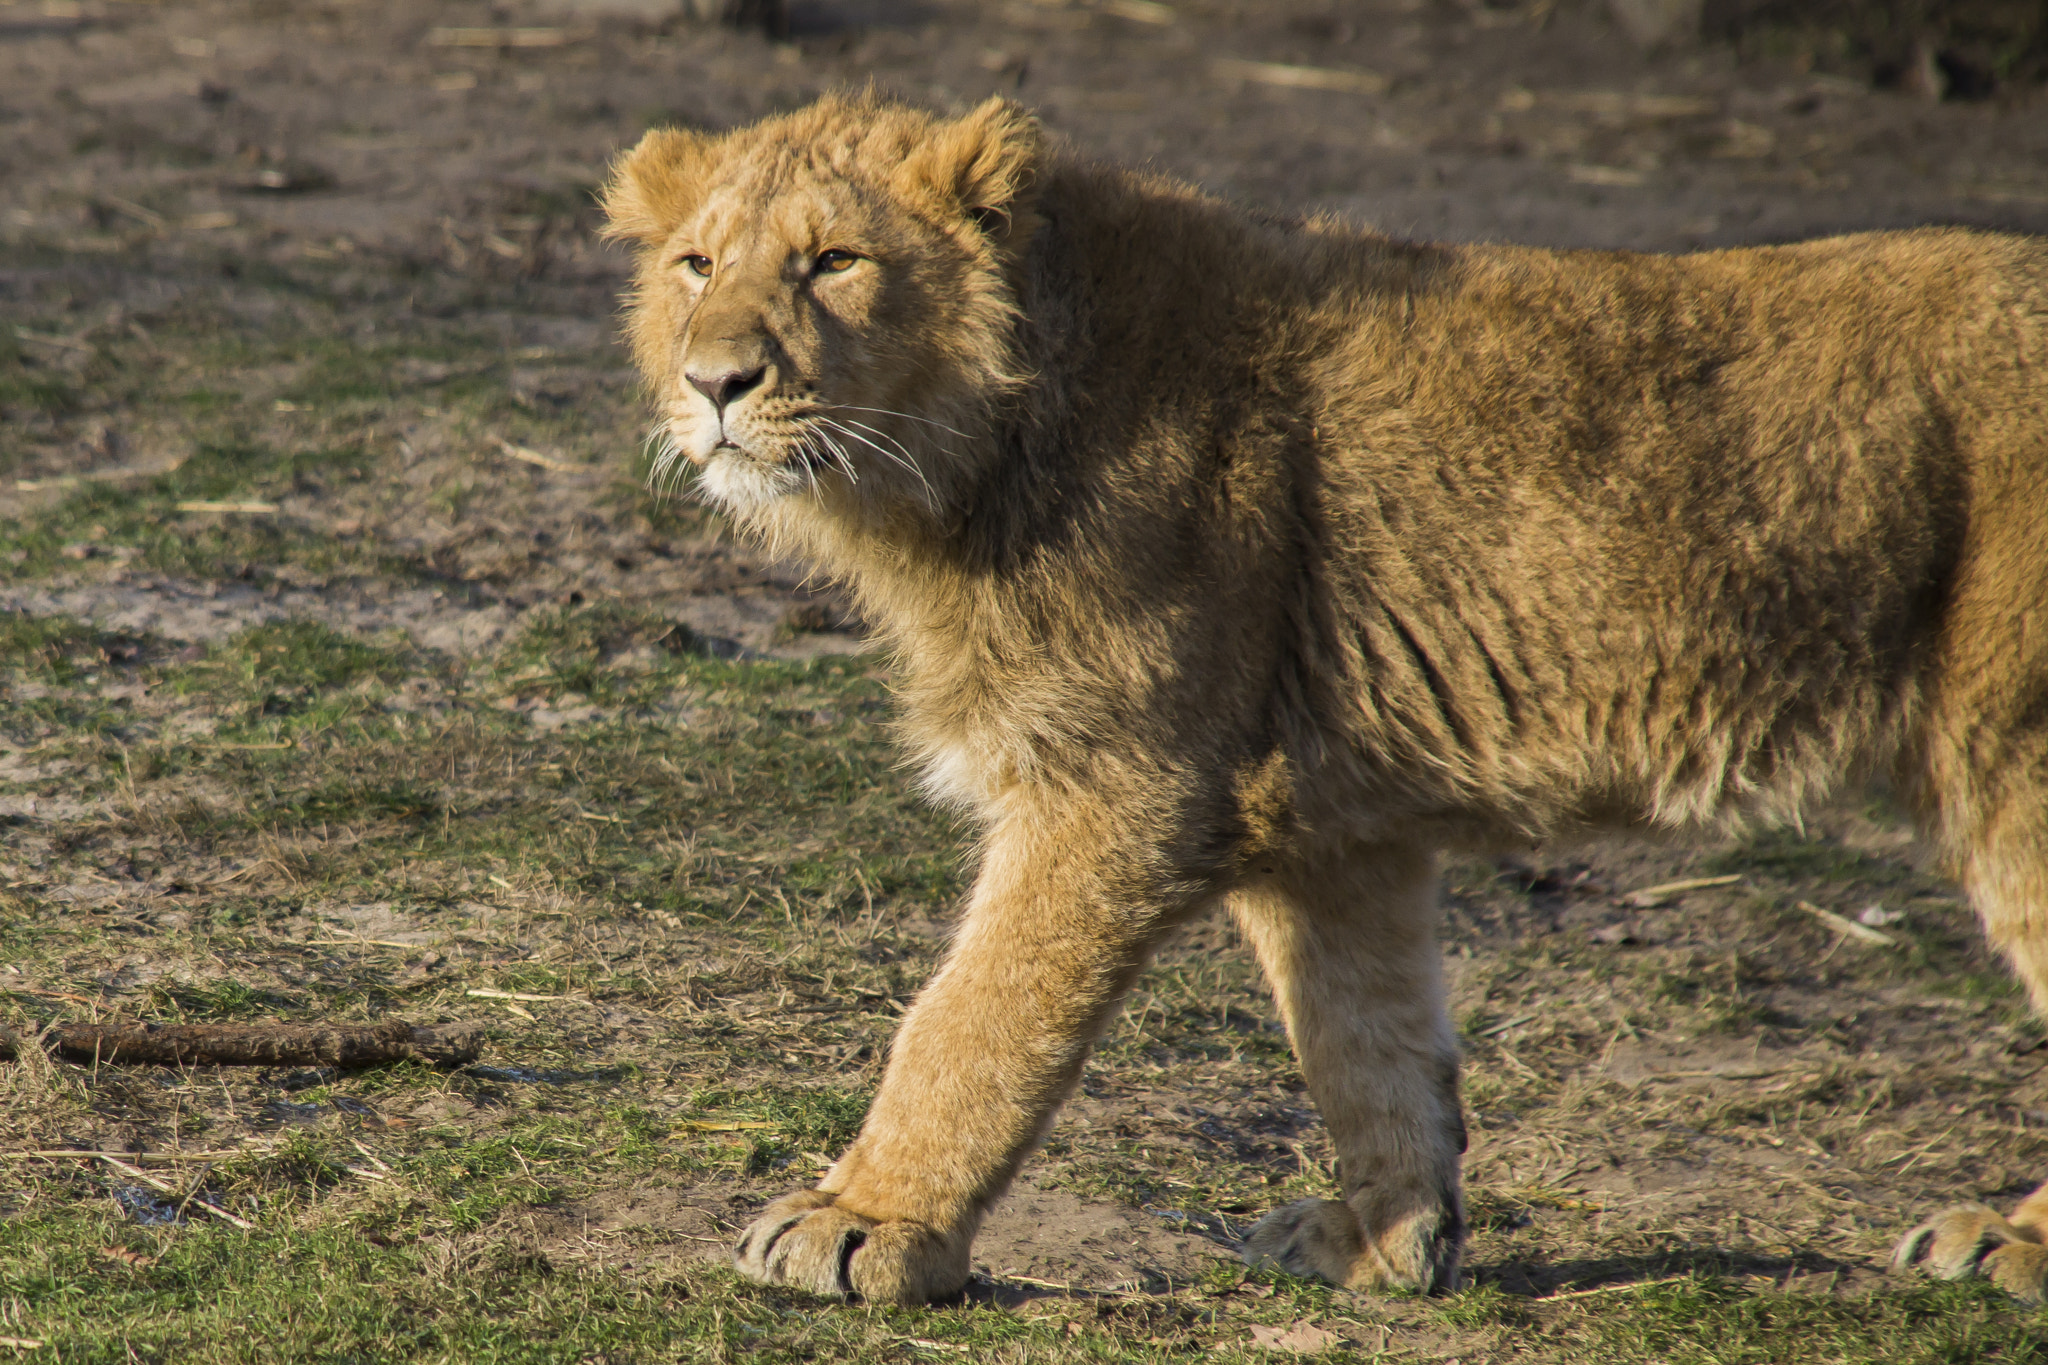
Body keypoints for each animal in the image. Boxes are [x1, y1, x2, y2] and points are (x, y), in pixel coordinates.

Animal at [598, 90, 2048, 1309]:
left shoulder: (1119, 787)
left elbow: (972, 1017)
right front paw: (1389, 1243)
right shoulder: (1334, 827)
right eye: (695, 267)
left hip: (2015, 754)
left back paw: (2009, 1244)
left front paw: (864, 1224)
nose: (715, 382)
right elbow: (1369, 1044)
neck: (956, 470)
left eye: (834, 262)